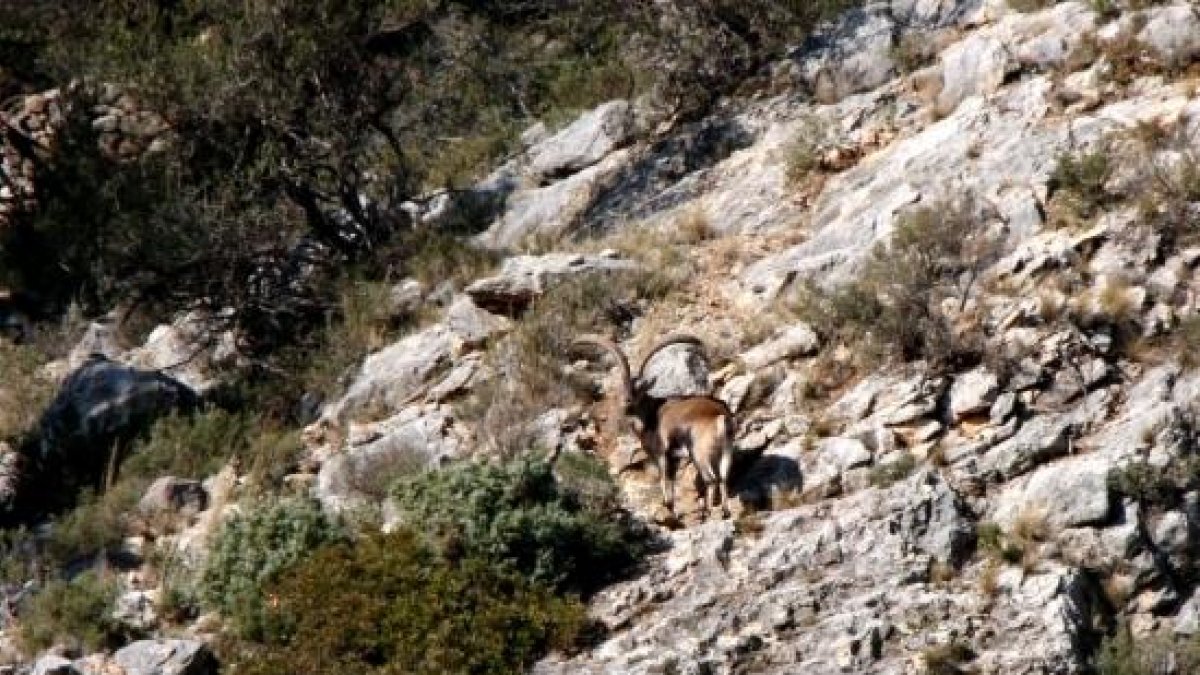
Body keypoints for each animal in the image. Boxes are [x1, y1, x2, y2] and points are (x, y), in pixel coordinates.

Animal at [568, 333, 729, 516]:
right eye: (623, 386)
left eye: (640, 389)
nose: (627, 401)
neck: (649, 415)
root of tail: (719, 415)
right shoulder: (674, 458)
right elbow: (671, 481)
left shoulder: (660, 453)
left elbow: (664, 480)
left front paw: (668, 506)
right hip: (725, 450)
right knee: (723, 477)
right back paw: (725, 511)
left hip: (699, 452)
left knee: (711, 479)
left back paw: (708, 512)